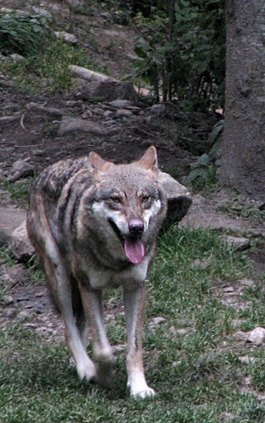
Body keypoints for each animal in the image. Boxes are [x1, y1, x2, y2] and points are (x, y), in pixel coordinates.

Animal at [26, 146, 167, 398]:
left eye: (145, 198)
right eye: (116, 199)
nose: (137, 228)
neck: (116, 260)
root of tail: (44, 172)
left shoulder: (136, 287)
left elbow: (134, 347)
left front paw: (139, 388)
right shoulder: (89, 288)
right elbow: (103, 350)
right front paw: (103, 376)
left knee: (80, 327)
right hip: (61, 278)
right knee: (69, 329)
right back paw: (85, 368)